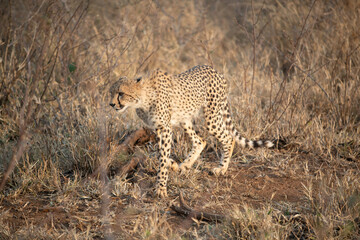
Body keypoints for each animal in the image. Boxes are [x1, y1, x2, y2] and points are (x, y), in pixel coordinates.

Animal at [109, 64, 276, 198]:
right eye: (111, 92)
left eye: (121, 93)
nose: (111, 104)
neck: (143, 98)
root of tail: (214, 70)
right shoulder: (157, 128)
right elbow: (159, 152)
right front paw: (173, 165)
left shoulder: (165, 129)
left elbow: (162, 157)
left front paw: (161, 188)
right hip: (185, 118)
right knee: (201, 140)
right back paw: (185, 165)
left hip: (211, 117)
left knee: (228, 138)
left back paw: (221, 168)